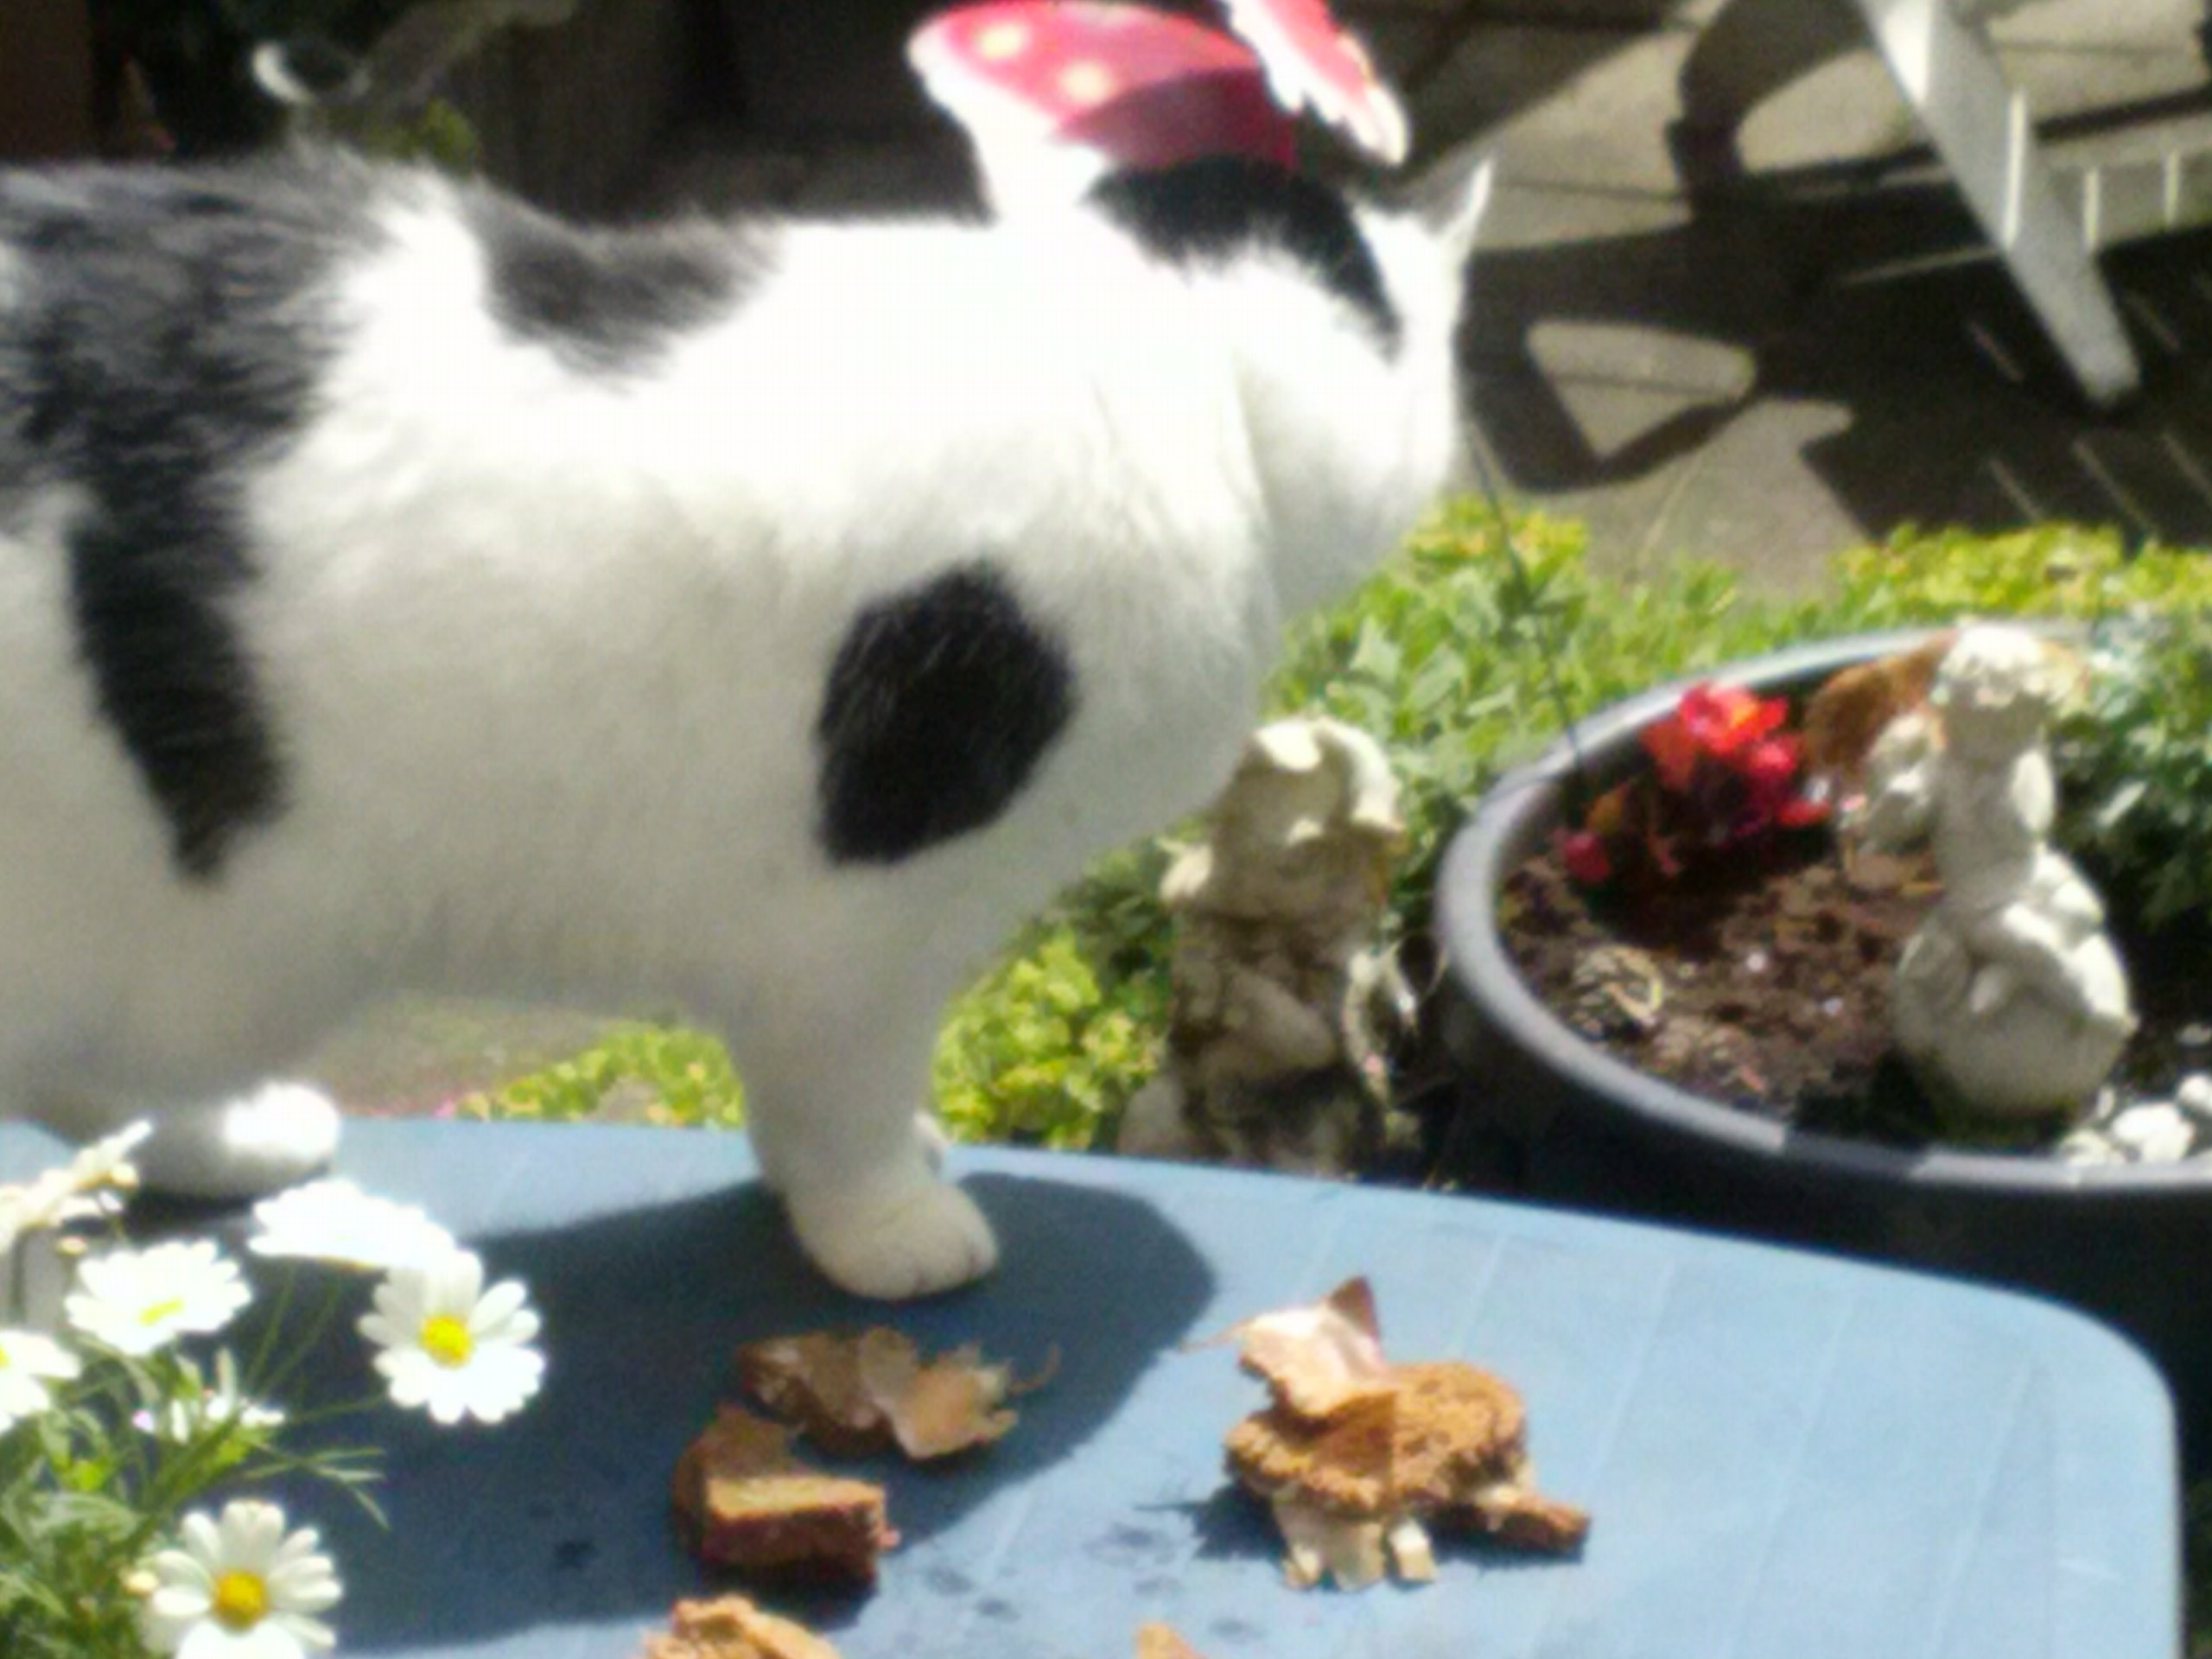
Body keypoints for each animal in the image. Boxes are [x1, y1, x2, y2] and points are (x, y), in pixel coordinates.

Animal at [0, 144, 1487, 1298]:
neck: (1151, 340)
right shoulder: (856, 938)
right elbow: (840, 1100)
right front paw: (886, 1225)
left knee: (95, 1091)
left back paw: (231, 1141)